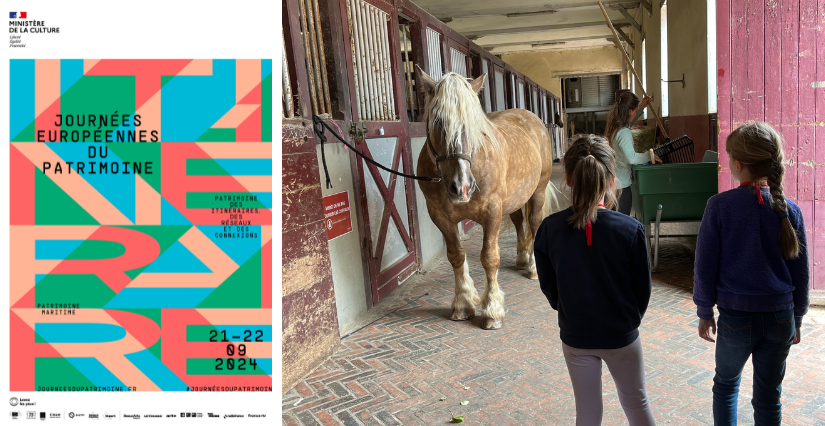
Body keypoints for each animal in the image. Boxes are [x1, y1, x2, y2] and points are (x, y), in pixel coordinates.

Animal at [412, 66, 552, 332]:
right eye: (437, 121)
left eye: (474, 124)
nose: (462, 187)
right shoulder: (440, 216)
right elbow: (456, 255)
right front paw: (463, 303)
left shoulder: (492, 212)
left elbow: (489, 257)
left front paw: (492, 310)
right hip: (515, 198)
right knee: (519, 222)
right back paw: (522, 259)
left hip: (538, 190)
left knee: (535, 223)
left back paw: (533, 268)